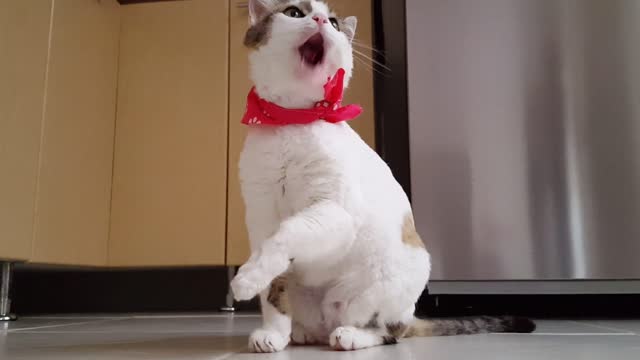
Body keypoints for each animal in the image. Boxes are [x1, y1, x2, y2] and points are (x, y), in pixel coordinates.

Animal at [230, 0, 536, 352]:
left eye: (334, 22)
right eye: (294, 12)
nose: (321, 20)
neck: (292, 119)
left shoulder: (334, 211)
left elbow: (287, 233)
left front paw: (245, 280)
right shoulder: (260, 216)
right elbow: (273, 286)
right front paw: (272, 333)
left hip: (393, 281)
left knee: (390, 330)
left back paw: (351, 335)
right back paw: (300, 332)